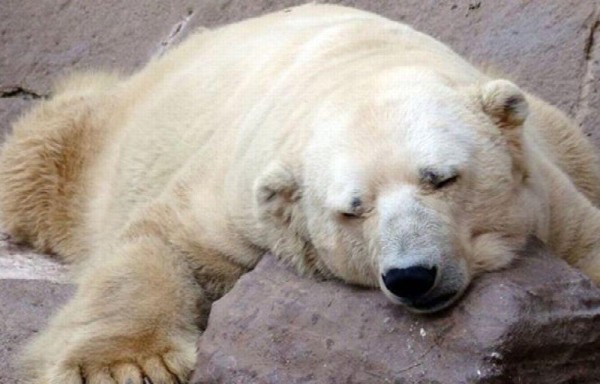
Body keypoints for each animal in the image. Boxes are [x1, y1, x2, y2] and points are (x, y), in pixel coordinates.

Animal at [1, 3, 600, 384]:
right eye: (353, 210)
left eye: (441, 178)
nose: (412, 276)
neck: (360, 67)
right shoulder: (244, 192)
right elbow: (159, 241)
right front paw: (127, 366)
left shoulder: (548, 196)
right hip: (101, 138)